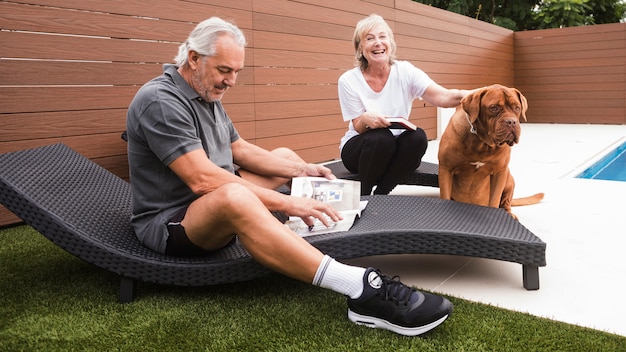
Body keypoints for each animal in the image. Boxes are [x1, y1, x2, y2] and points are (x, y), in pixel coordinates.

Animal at [434, 84, 540, 219]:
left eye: (517, 108)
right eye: (494, 108)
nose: (511, 121)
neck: (482, 143)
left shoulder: (500, 172)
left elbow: (494, 200)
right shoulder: (446, 169)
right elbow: (445, 196)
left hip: (509, 179)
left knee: (506, 201)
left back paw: (509, 214)